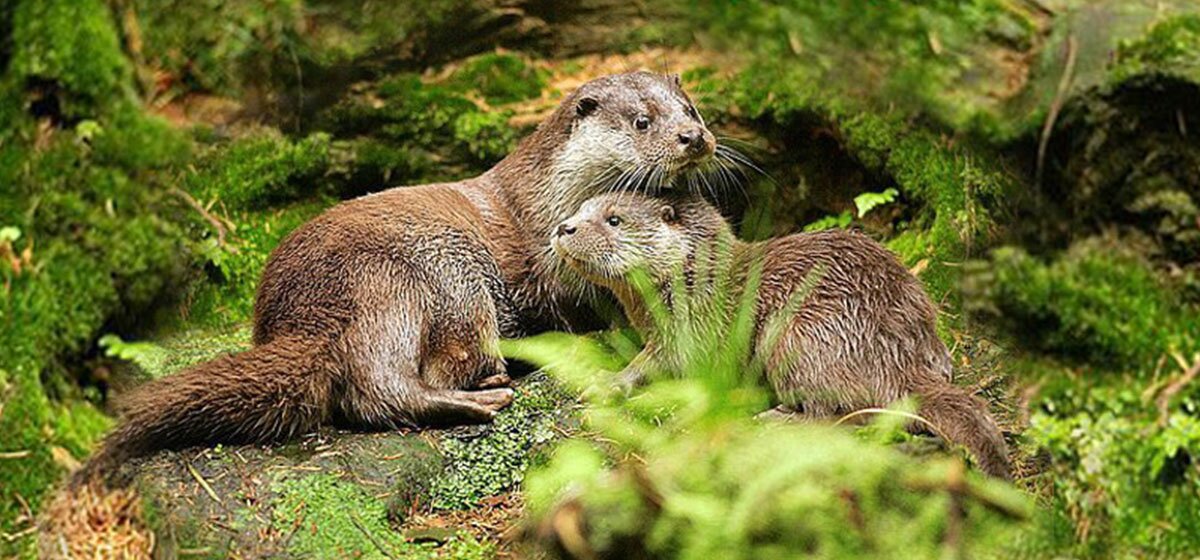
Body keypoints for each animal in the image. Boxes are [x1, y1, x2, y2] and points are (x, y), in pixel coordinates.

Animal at [81, 72, 718, 482]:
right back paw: (479, 398)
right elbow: (579, 312)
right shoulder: (548, 270)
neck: (546, 206)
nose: (693, 138)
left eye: (691, 110)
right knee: (378, 388)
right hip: (415, 279)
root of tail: (299, 312)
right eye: (642, 121)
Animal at [551, 192, 1012, 479]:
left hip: (797, 336)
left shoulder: (695, 327)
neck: (696, 279)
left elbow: (657, 364)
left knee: (843, 414)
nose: (564, 228)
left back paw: (773, 418)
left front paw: (609, 382)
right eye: (580, 208)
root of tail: (898, 353)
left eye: (614, 219)